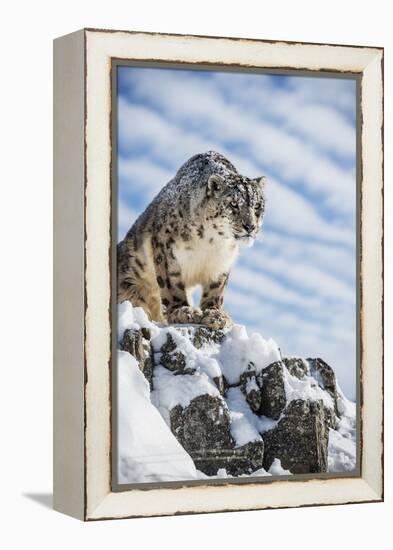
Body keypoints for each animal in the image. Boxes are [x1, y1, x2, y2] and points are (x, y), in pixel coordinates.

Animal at [116, 151, 264, 330]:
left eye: (257, 206)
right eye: (234, 204)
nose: (250, 226)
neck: (212, 242)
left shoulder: (221, 262)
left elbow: (216, 290)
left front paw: (215, 314)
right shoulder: (166, 249)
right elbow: (172, 284)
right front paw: (183, 311)